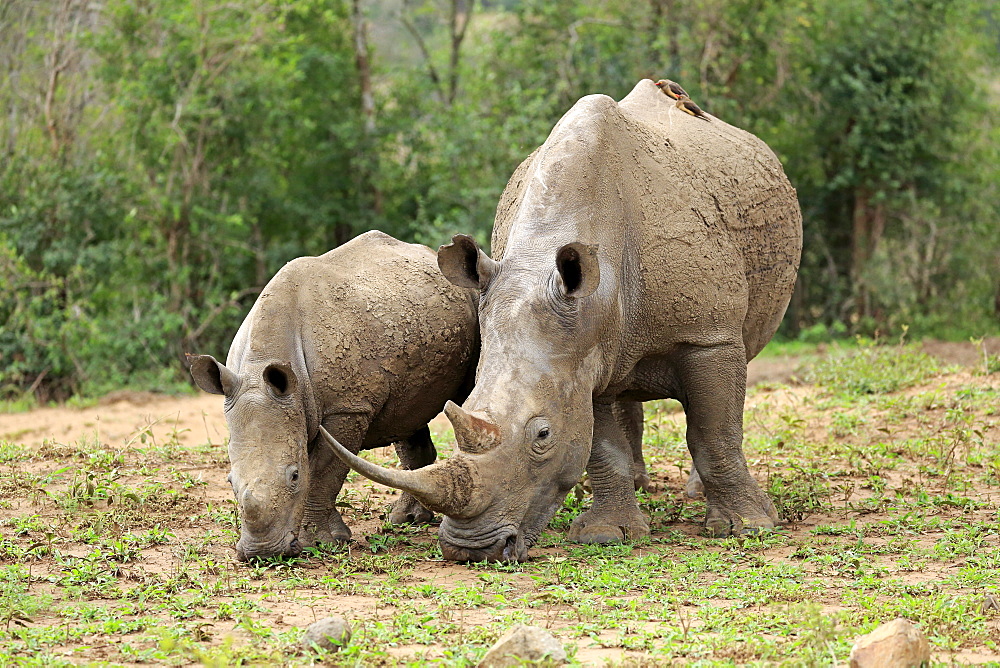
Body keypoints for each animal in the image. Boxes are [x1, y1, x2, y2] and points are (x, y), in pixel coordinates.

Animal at [193, 230, 482, 560]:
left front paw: (320, 542)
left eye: (294, 476)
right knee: (409, 414)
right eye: (229, 481)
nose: (262, 553)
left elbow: (324, 470)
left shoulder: (347, 408)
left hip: (470, 299)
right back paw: (406, 520)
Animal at [324, 78, 800, 560]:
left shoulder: (707, 336)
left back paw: (698, 495)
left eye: (543, 435)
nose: (473, 549)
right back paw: (639, 487)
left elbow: (714, 431)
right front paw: (607, 534)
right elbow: (601, 445)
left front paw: (749, 527)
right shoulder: (582, 349)